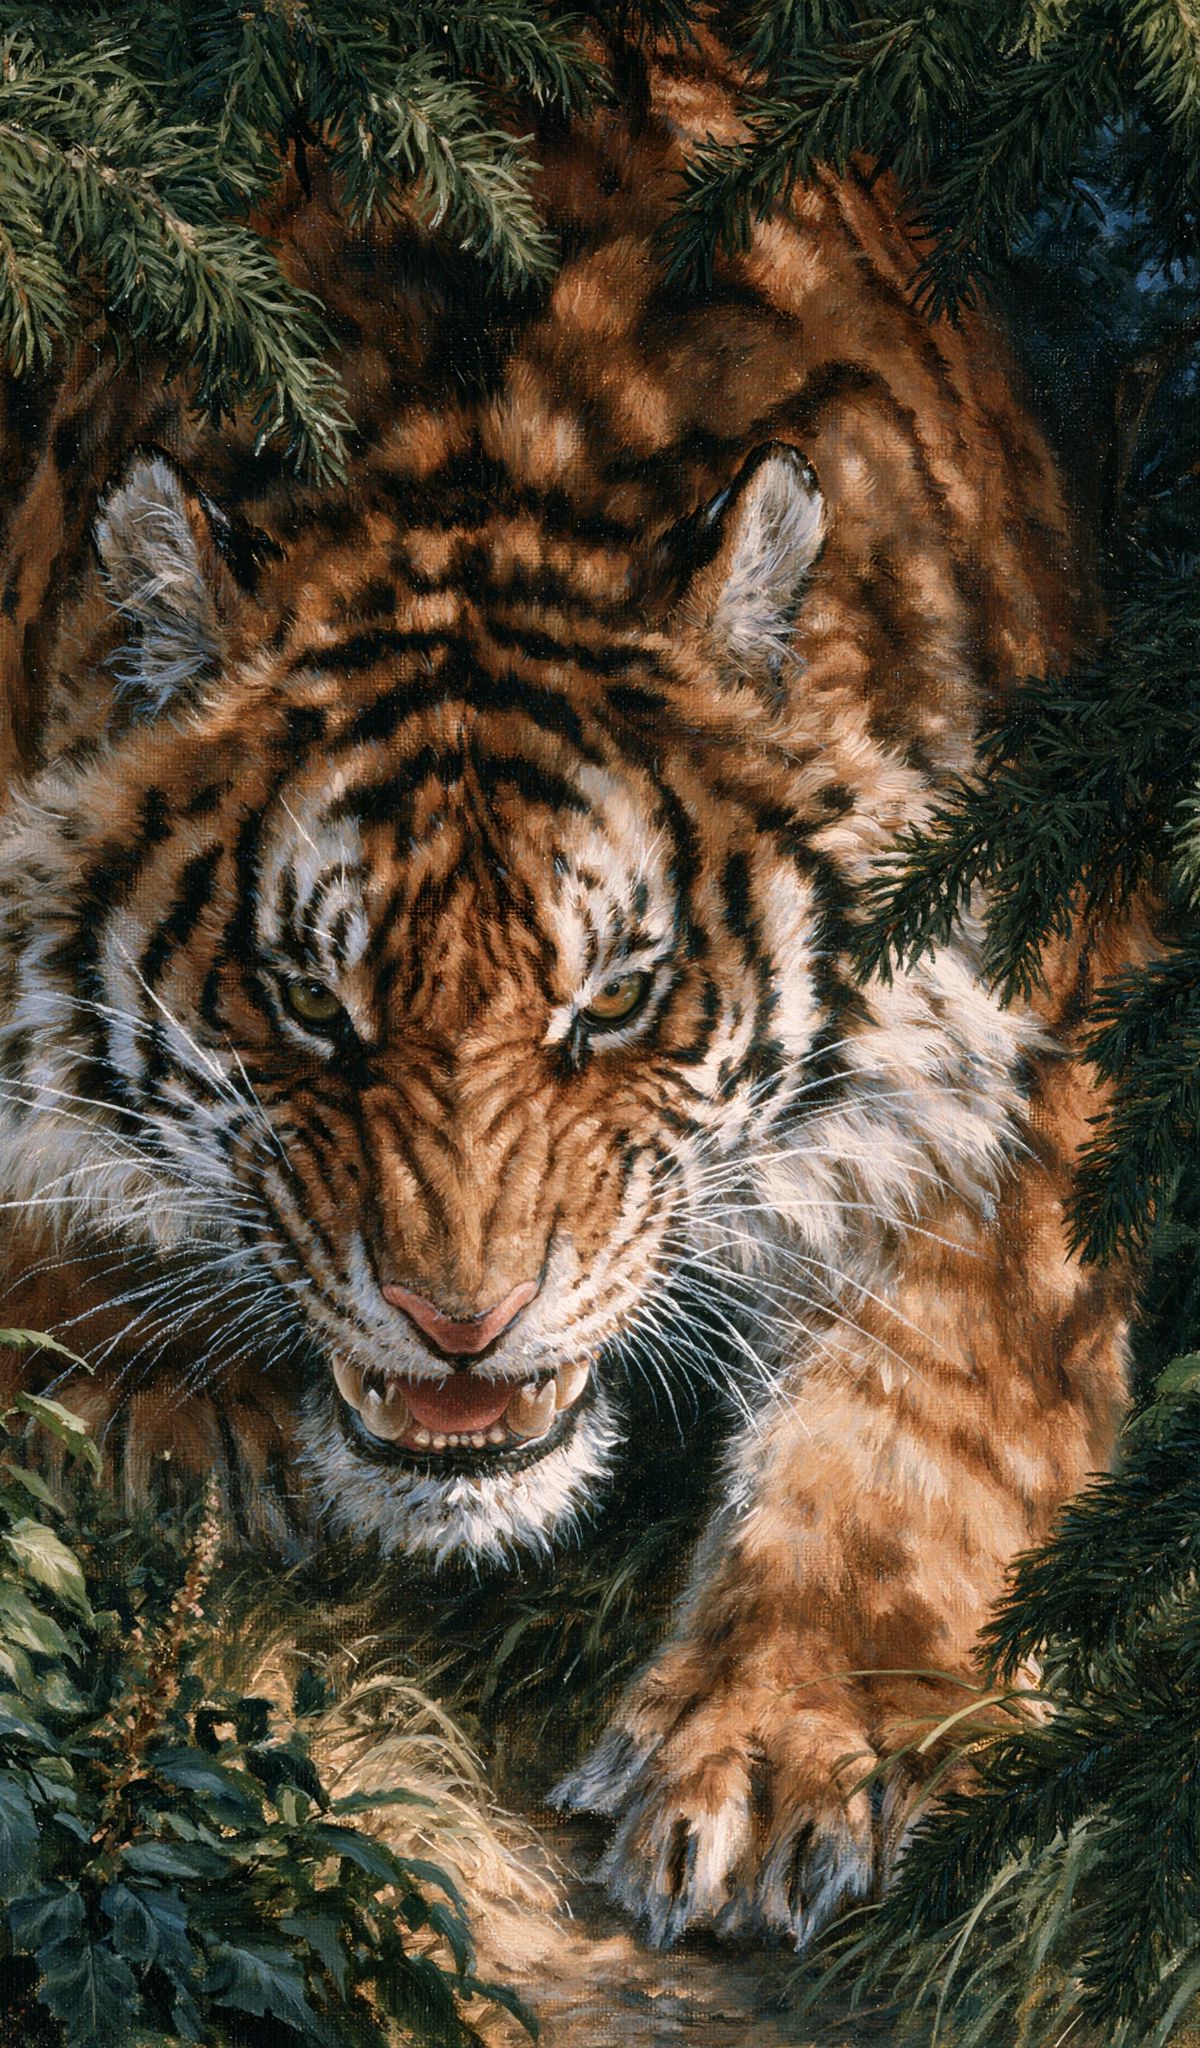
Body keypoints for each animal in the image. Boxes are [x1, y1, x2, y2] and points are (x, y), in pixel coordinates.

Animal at [0, 29, 1131, 1952]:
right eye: (312, 1004)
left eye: (612, 1003)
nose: (461, 1324)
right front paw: (166, 1408)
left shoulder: (1043, 999)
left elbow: (934, 1397)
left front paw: (780, 1748)